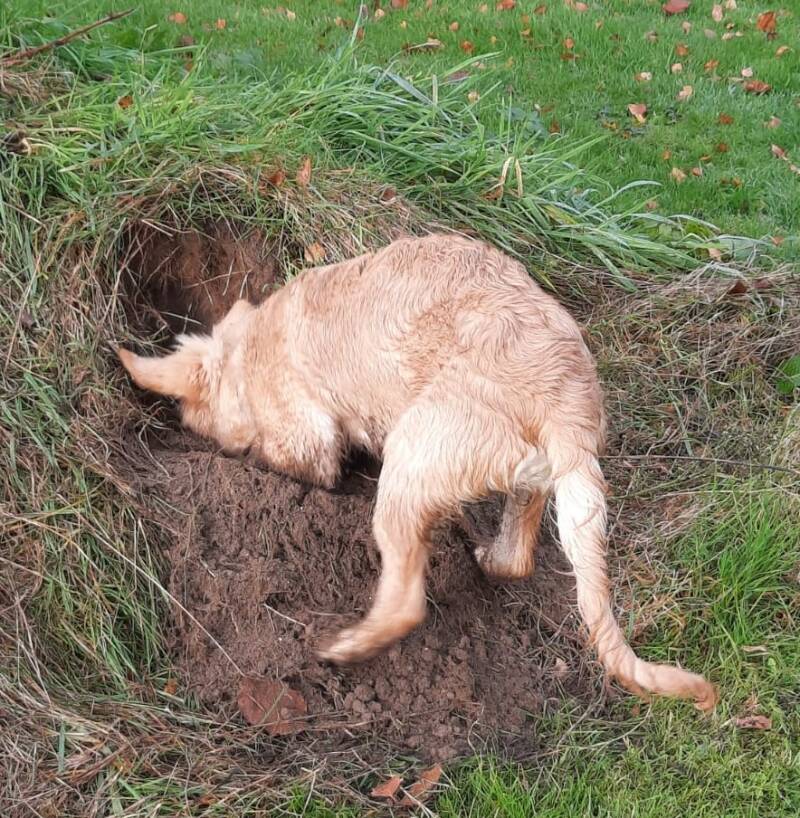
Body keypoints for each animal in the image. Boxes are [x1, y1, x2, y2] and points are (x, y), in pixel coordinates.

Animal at [118, 233, 717, 710]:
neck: (245, 353)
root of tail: (565, 401)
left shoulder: (305, 437)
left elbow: (290, 458)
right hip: (530, 481)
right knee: (516, 558)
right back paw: (488, 556)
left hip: (411, 458)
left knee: (407, 599)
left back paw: (346, 647)